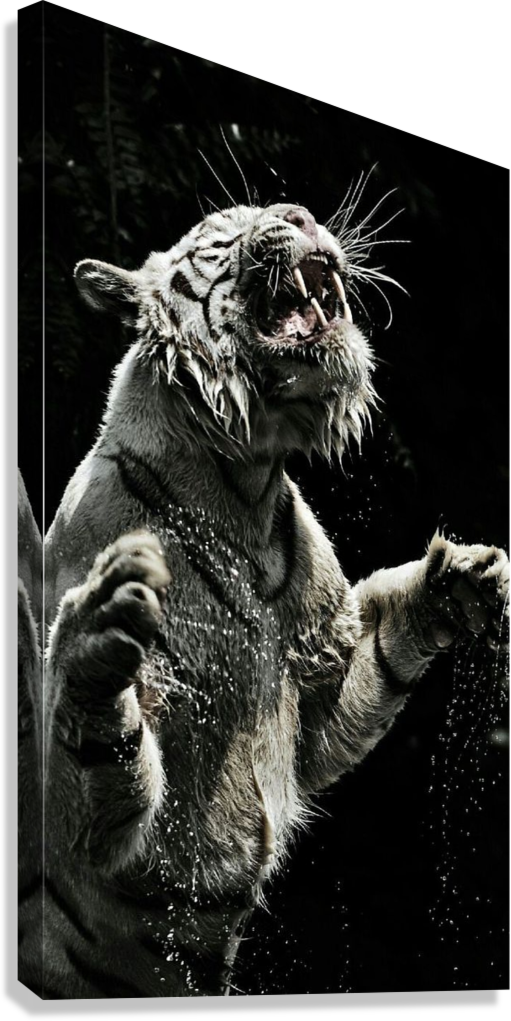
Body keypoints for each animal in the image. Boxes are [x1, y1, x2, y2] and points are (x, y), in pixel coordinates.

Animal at [27, 202, 508, 999]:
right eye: (226, 228)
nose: (300, 214)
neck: (244, 481)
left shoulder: (319, 677)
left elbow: (380, 646)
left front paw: (463, 579)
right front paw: (99, 641)